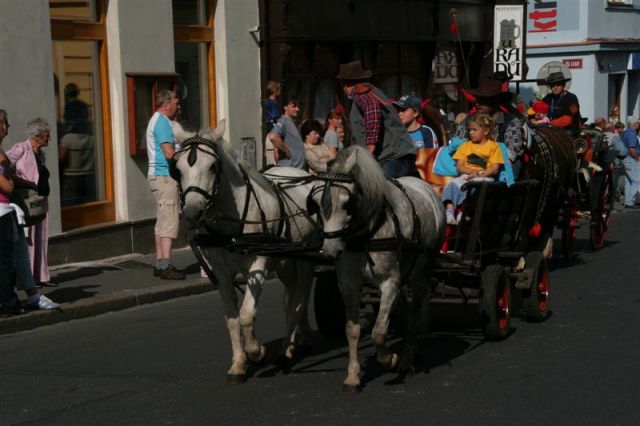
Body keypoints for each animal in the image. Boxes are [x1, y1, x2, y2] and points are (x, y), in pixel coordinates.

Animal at [171, 121, 318, 384]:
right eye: (177, 169)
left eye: (212, 166)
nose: (192, 213)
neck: (232, 220)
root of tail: (301, 175)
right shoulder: (220, 273)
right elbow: (232, 318)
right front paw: (238, 363)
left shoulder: (259, 264)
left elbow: (247, 313)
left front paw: (256, 352)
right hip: (285, 261)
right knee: (291, 300)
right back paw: (299, 340)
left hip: (305, 259)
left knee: (300, 300)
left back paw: (287, 350)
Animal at [308, 146, 448, 392]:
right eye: (315, 203)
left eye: (347, 202)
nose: (331, 250)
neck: (366, 234)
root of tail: (424, 186)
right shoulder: (347, 283)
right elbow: (352, 329)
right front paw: (353, 376)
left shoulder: (390, 282)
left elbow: (379, 332)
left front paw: (390, 360)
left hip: (423, 270)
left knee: (416, 310)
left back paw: (407, 357)